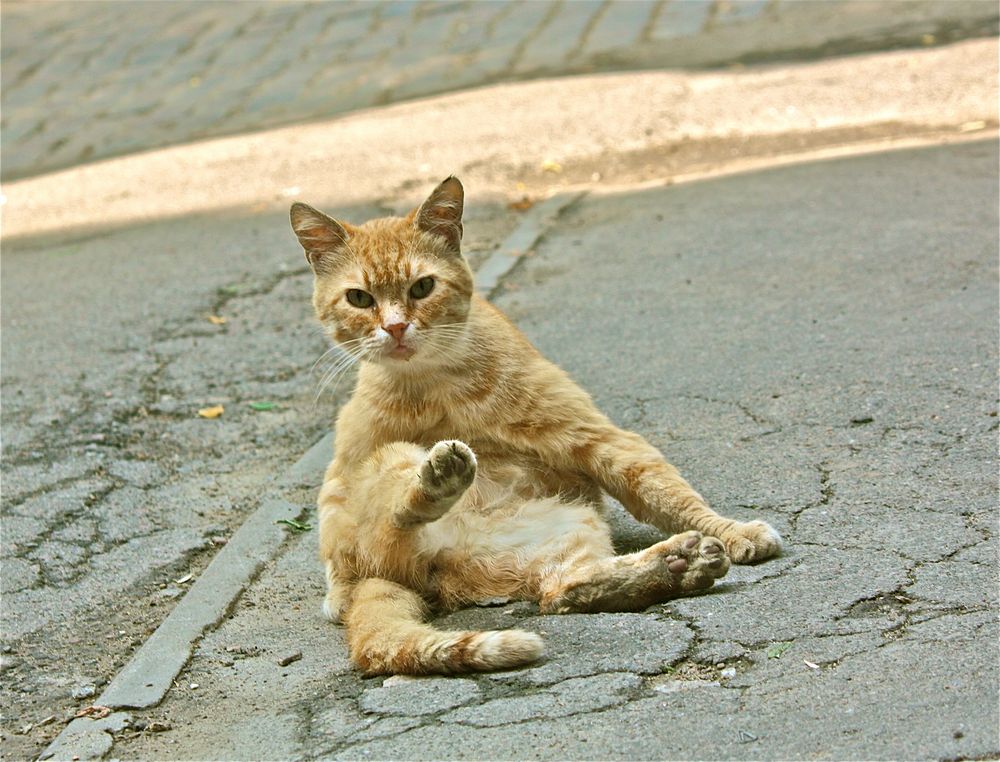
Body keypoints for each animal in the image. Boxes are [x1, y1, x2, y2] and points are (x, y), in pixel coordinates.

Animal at [290, 177, 780, 672]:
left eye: (423, 287)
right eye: (359, 298)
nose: (394, 328)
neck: (434, 387)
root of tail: (400, 574)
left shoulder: (595, 437)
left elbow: (667, 493)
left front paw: (732, 531)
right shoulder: (342, 471)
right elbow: (334, 539)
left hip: (569, 526)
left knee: (564, 589)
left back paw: (678, 565)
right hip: (392, 463)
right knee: (395, 524)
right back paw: (442, 480)